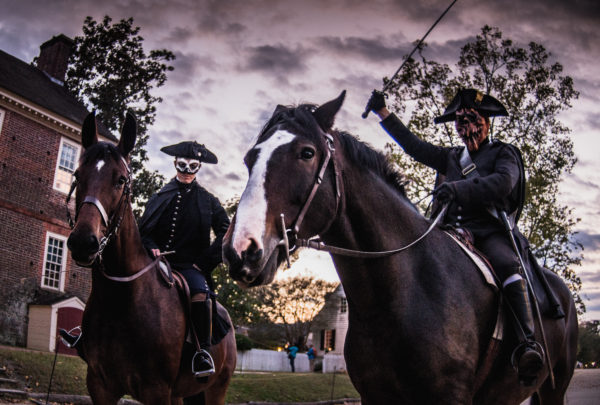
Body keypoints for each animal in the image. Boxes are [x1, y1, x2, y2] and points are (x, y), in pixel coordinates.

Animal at [65, 111, 234, 404]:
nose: (84, 242)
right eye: (77, 174)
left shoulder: (156, 390)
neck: (121, 299)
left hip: (216, 389)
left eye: (121, 179)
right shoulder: (99, 385)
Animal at [223, 91, 580, 404]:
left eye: (307, 153)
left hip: (553, 388)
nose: (240, 249)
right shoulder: (374, 396)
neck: (398, 295)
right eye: (250, 158)